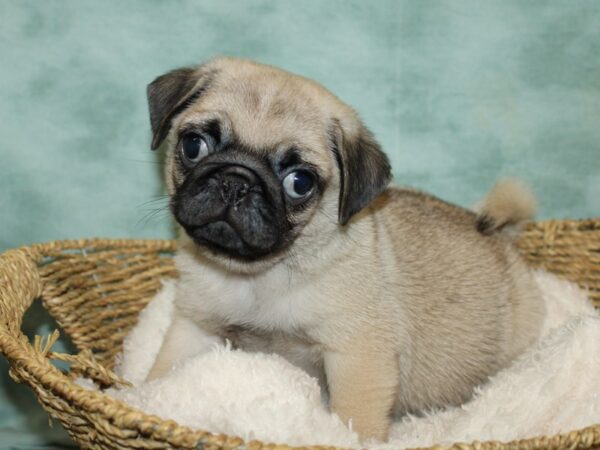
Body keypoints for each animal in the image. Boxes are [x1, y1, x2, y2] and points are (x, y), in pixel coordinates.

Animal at [144, 57, 544, 442]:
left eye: (299, 182)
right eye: (194, 145)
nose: (236, 181)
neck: (258, 276)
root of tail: (501, 236)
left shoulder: (358, 357)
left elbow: (356, 419)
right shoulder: (195, 326)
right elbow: (166, 372)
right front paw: (149, 400)